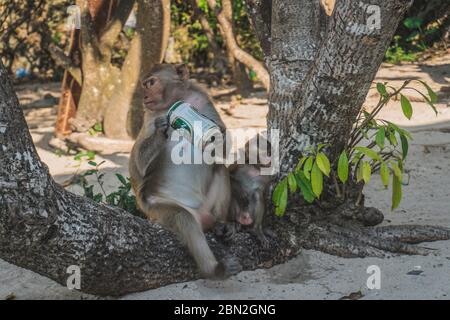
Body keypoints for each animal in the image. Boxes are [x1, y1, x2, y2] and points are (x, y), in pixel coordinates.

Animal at [129, 63, 241, 278]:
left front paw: (218, 134)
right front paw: (161, 130)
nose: (144, 96)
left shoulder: (202, 100)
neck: (174, 102)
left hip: (208, 206)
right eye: (144, 84)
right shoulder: (150, 116)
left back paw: (222, 224)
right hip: (159, 209)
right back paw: (214, 269)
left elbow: (220, 151)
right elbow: (140, 165)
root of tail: (203, 216)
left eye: (151, 83)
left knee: (219, 168)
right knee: (184, 218)